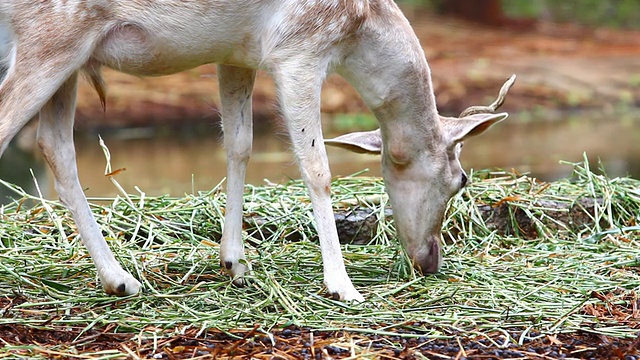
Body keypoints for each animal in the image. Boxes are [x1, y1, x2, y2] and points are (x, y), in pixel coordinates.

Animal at [0, 0, 516, 300]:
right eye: (461, 180)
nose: (430, 261)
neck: (360, 25)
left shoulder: (236, 53)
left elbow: (239, 144)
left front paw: (235, 263)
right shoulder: (299, 48)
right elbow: (316, 167)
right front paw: (342, 286)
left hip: (71, 58)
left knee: (54, 146)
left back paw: (120, 279)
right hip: (51, 34)